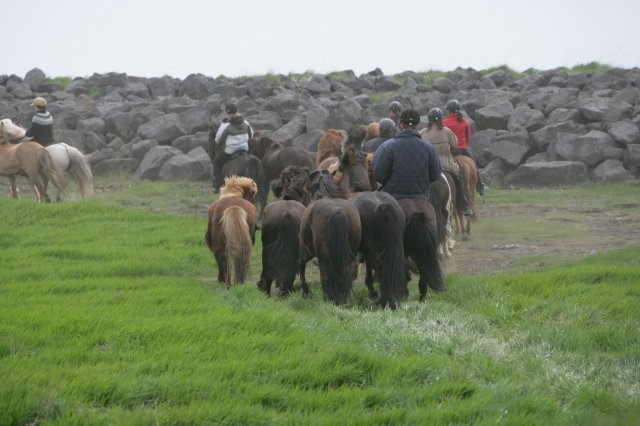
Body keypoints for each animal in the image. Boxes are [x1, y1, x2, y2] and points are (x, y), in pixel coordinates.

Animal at [298, 168, 362, 304]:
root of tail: (337, 211)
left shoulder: (305, 248)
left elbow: (301, 264)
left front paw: (306, 292)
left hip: (321, 255)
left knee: (324, 275)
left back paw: (327, 297)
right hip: (348, 252)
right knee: (345, 272)